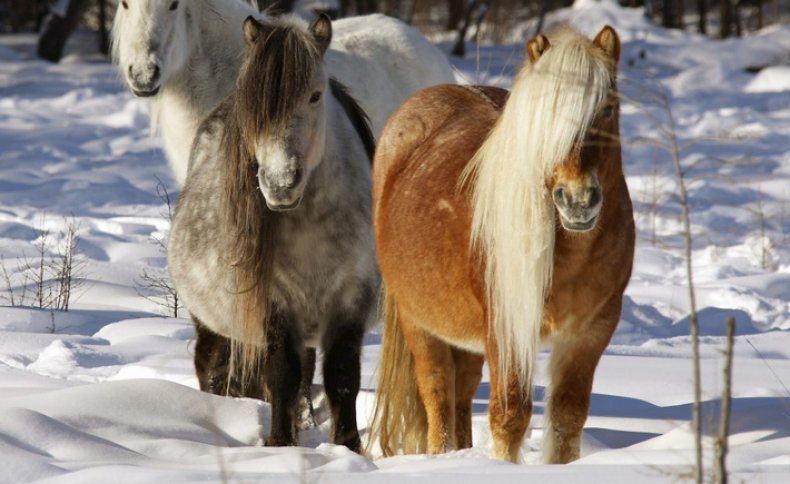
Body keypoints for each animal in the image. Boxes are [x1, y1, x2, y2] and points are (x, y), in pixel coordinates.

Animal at [372, 26, 636, 466]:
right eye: (543, 117)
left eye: (606, 110)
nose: (577, 200)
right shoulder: (507, 325)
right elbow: (510, 415)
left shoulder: (591, 330)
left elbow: (567, 416)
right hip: (419, 322)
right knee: (437, 394)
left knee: (462, 392)